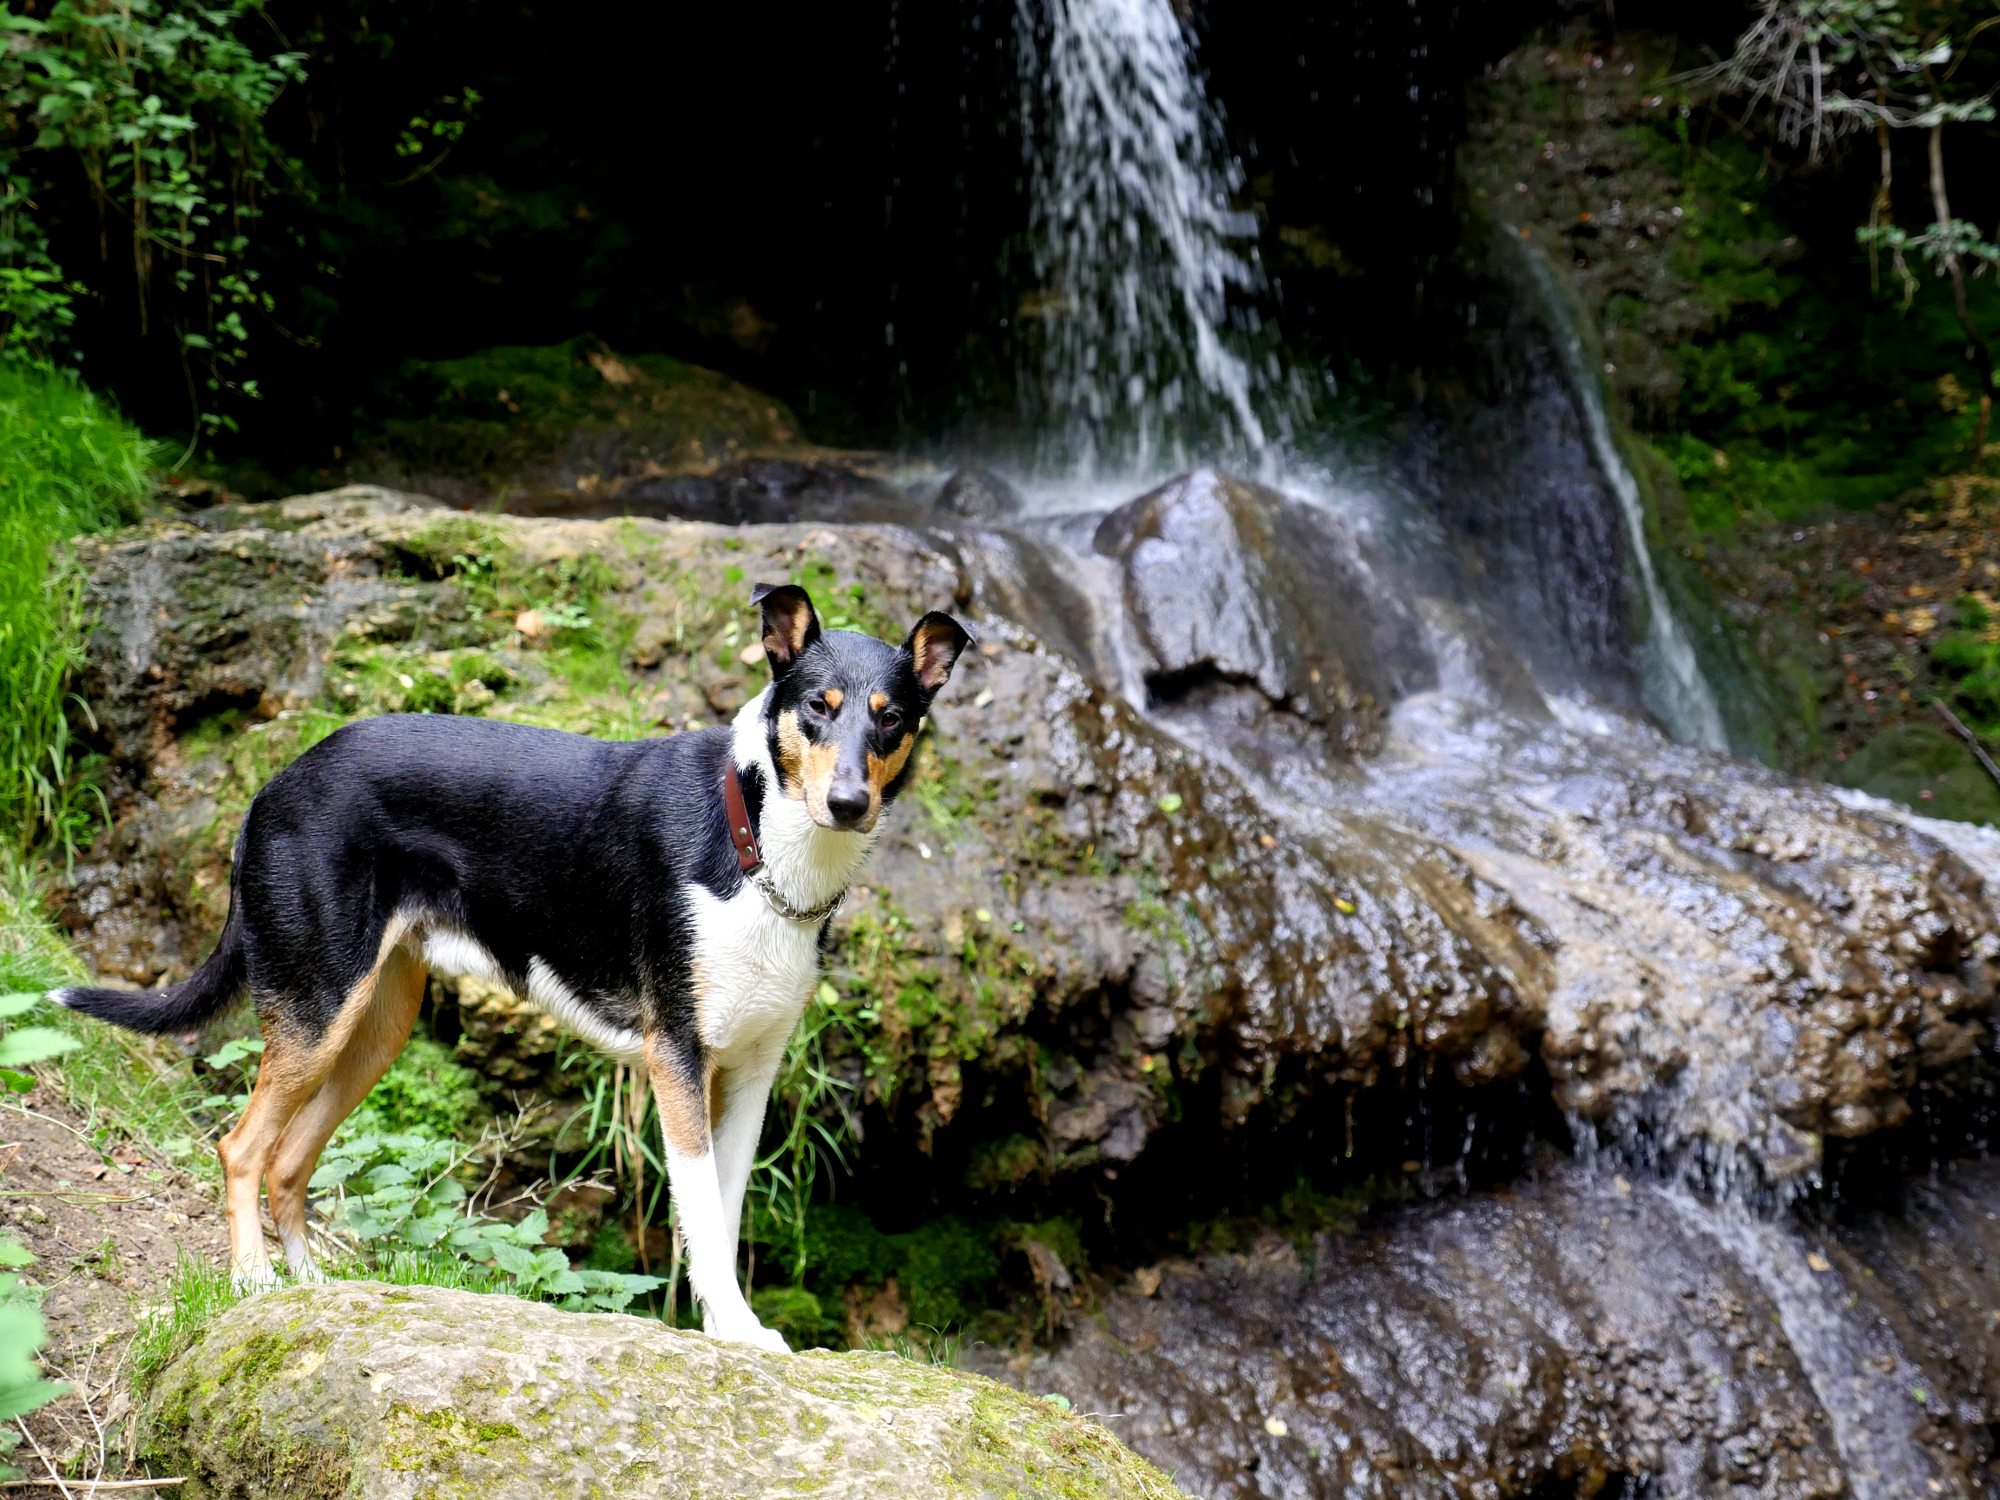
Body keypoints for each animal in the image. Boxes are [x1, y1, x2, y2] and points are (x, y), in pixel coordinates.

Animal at [56, 584, 976, 1352]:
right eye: (819, 709)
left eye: (890, 719)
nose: (849, 803)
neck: (756, 844)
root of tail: (272, 786)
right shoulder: (676, 1057)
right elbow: (705, 1222)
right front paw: (742, 1336)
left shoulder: (750, 1072)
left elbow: (723, 1211)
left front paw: (725, 1330)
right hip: (318, 1006)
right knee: (241, 1147)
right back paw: (253, 1284)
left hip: (373, 1027)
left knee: (287, 1159)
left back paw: (314, 1289)